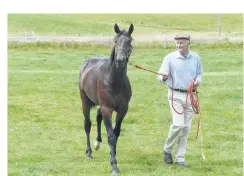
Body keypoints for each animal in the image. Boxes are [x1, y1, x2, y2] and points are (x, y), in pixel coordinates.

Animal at [78, 23, 133, 175]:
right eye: (115, 41)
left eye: (129, 41)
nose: (120, 61)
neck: (114, 81)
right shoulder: (107, 108)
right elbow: (111, 136)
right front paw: (114, 165)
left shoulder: (122, 110)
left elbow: (116, 133)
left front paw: (112, 155)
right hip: (85, 101)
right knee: (87, 124)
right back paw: (89, 152)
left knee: (98, 116)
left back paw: (97, 143)